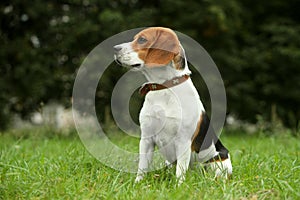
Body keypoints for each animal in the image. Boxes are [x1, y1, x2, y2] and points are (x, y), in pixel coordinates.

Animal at [113, 27, 232, 184]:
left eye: (142, 40)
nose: (114, 48)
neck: (163, 88)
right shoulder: (146, 139)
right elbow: (142, 167)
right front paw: (138, 183)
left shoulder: (183, 141)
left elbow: (180, 171)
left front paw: (179, 186)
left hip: (218, 161)